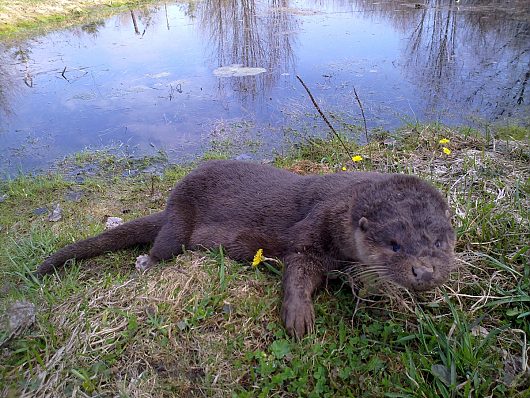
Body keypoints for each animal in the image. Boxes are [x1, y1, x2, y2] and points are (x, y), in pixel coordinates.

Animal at [36, 160, 454, 338]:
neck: (343, 209)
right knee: (164, 245)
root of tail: (170, 203)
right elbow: (297, 268)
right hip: (180, 217)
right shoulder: (313, 228)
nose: (425, 271)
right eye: (394, 245)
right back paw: (146, 262)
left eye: (438, 241)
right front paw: (298, 316)